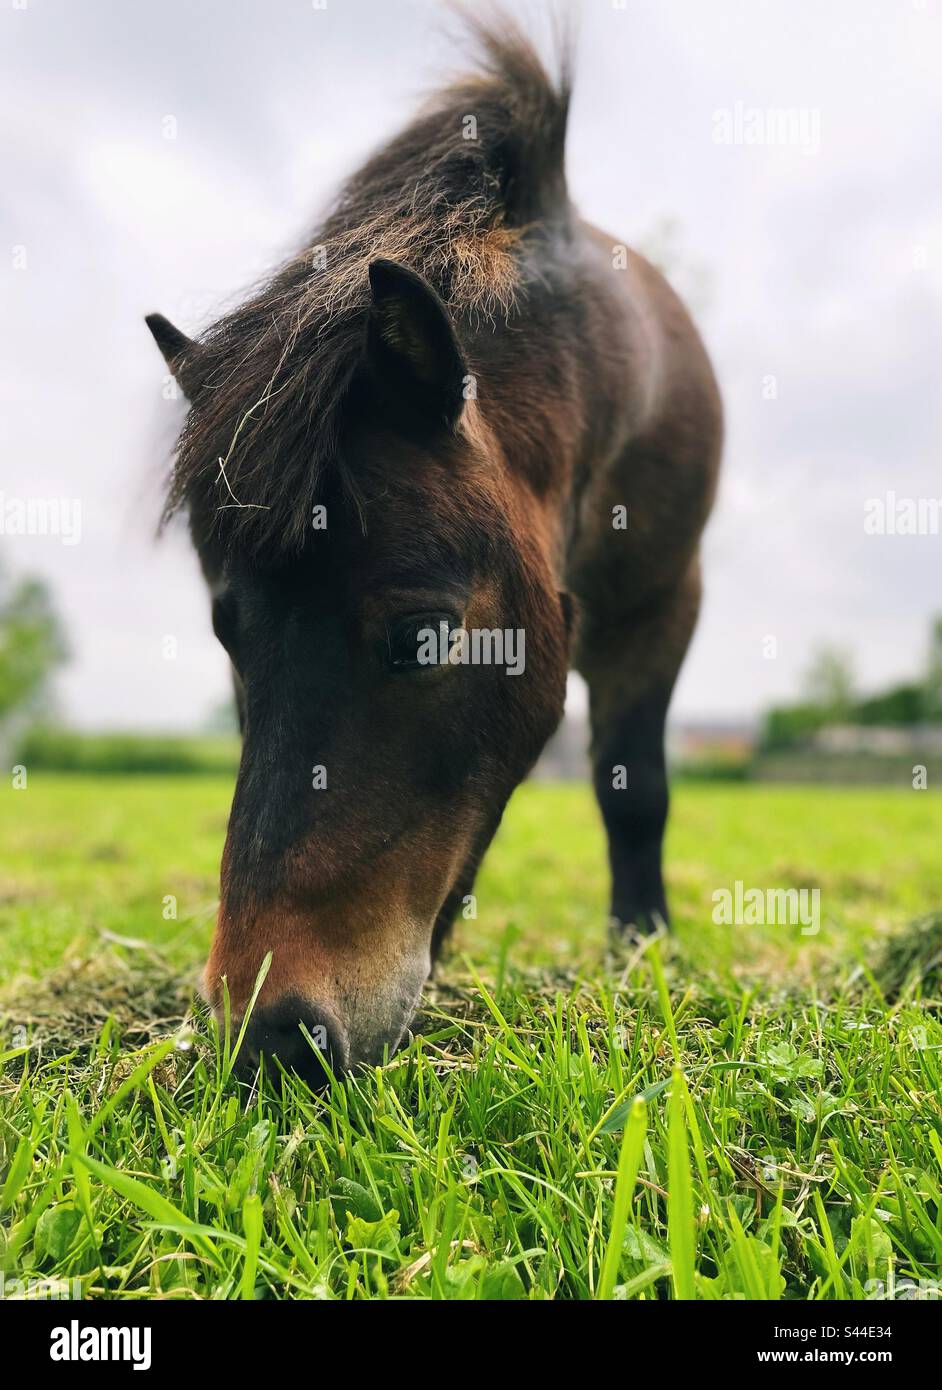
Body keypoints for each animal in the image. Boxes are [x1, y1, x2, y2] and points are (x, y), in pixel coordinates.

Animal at [146, 16, 722, 1086]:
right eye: (228, 640)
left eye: (423, 636)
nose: (270, 1036)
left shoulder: (664, 604)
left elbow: (633, 787)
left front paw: (643, 948)